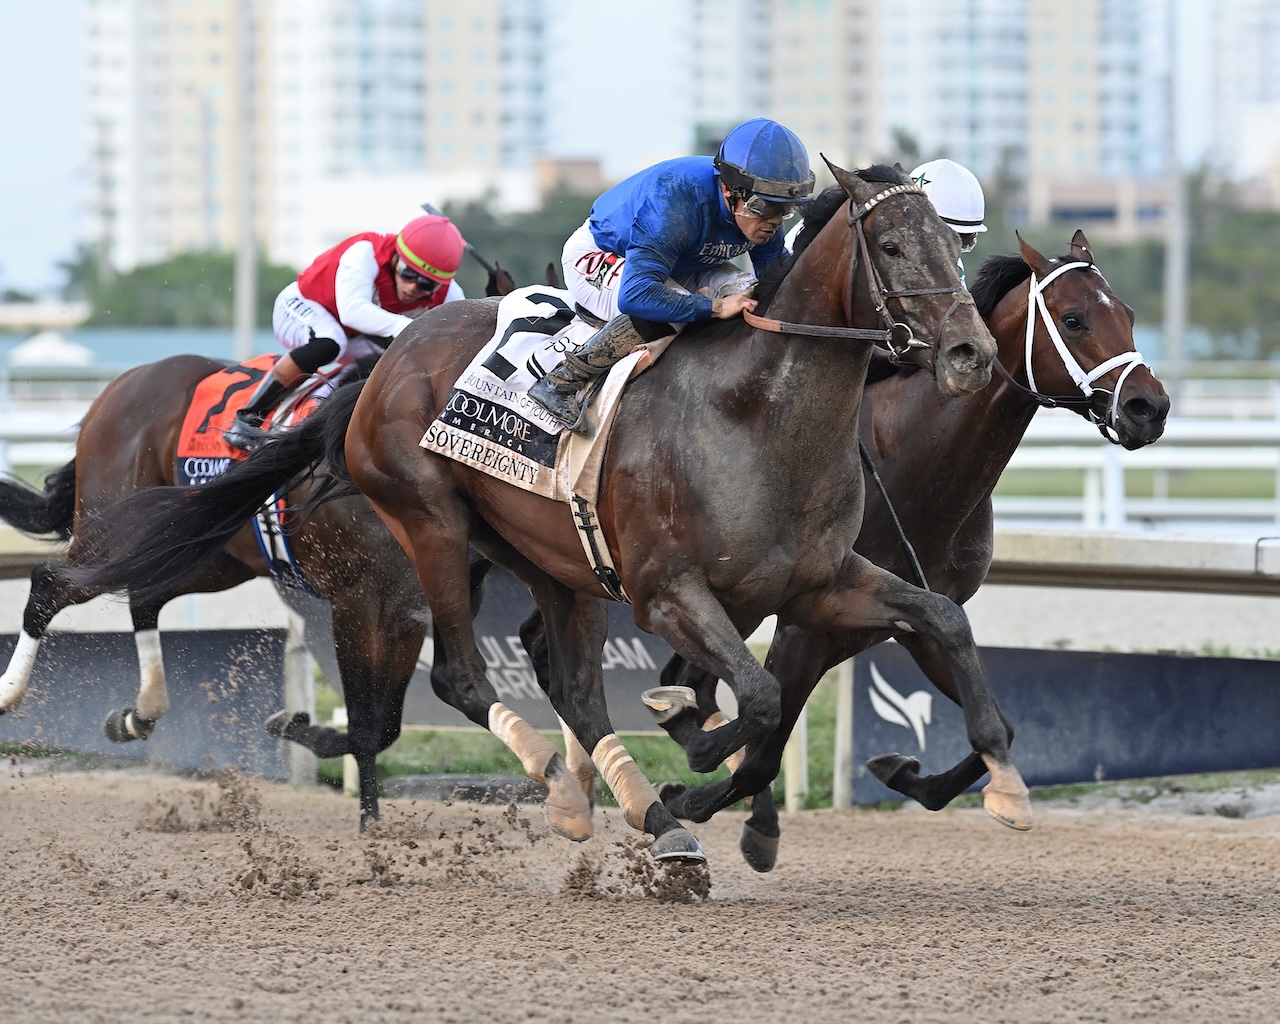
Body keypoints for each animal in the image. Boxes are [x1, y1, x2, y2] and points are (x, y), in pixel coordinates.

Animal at [57, 161, 1018, 865]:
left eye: (955, 246)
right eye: (890, 245)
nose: (973, 354)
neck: (755, 416)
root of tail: (389, 362)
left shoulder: (823, 583)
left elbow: (938, 621)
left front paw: (1002, 777)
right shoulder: (667, 593)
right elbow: (757, 699)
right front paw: (690, 748)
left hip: (550, 563)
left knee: (577, 692)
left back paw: (642, 819)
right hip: (430, 528)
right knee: (463, 677)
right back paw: (569, 786)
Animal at [650, 226, 1172, 870]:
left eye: (1127, 314)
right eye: (1073, 319)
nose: (1149, 407)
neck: (912, 464)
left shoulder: (911, 614)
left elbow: (999, 724)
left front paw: (902, 771)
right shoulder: (808, 623)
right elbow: (764, 747)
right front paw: (693, 803)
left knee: (691, 679)